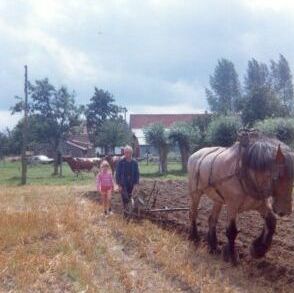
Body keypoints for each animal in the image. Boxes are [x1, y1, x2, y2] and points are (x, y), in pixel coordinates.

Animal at [188, 131, 294, 264]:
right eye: (277, 177)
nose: (285, 211)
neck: (244, 172)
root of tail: (194, 154)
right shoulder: (232, 205)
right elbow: (232, 231)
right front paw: (232, 256)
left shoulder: (260, 204)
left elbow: (271, 222)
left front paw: (258, 249)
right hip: (195, 193)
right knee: (193, 213)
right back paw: (194, 238)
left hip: (218, 199)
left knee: (212, 219)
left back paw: (213, 246)